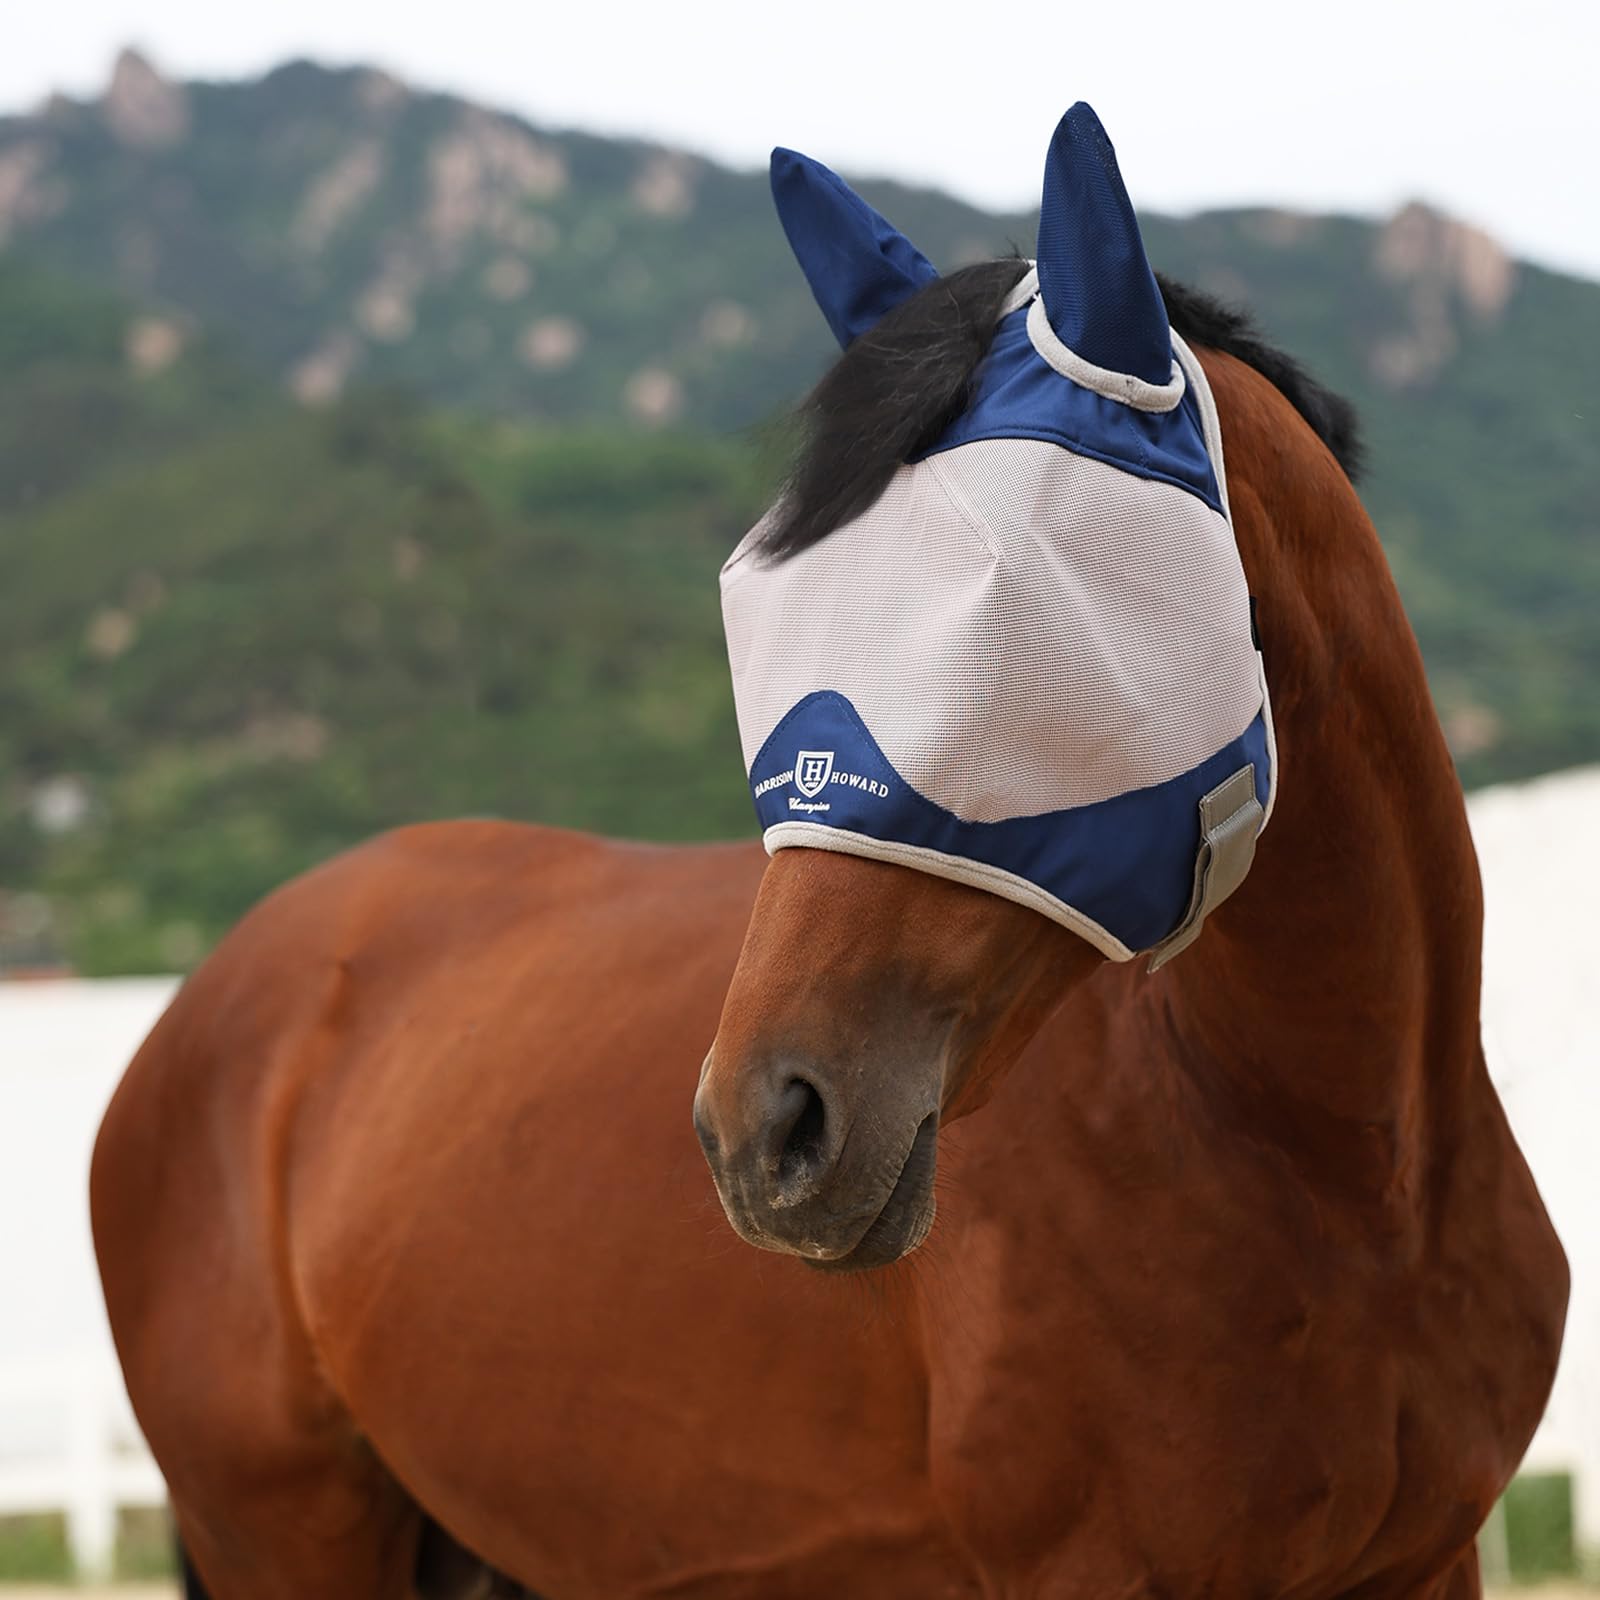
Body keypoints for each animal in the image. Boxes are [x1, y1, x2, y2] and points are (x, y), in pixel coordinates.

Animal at [92, 106, 1567, 1599]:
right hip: (285, 1531)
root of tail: (216, 1001)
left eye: (1020, 612)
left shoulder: (1424, 1561)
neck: (1345, 1171)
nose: (760, 1131)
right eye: (770, 609)